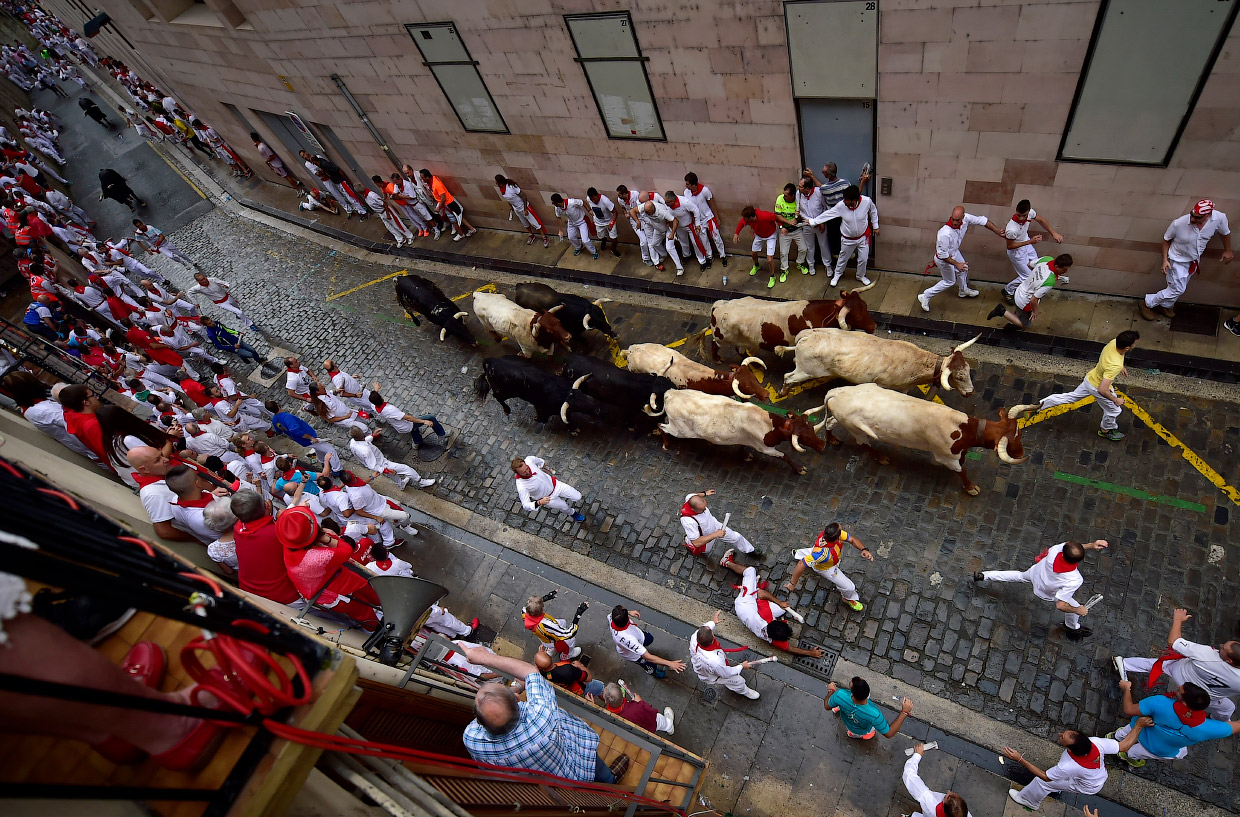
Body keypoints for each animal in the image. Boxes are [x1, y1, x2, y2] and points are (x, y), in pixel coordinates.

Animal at [709, 283, 882, 362]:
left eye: (865, 306)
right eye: (857, 316)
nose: (874, 326)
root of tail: (720, 304)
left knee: (740, 349)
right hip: (720, 339)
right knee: (713, 344)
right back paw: (717, 359)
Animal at [773, 329, 977, 396]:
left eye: (968, 370)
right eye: (959, 376)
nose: (970, 392)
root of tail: (807, 334)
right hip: (805, 371)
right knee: (788, 376)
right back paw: (783, 392)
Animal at [818, 384, 1031, 498]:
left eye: (1020, 434)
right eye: (1015, 439)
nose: (1021, 453)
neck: (963, 429)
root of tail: (837, 392)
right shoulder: (946, 457)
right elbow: (961, 471)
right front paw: (971, 488)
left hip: (842, 418)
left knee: (829, 422)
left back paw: (832, 439)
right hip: (857, 429)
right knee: (864, 444)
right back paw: (881, 458)